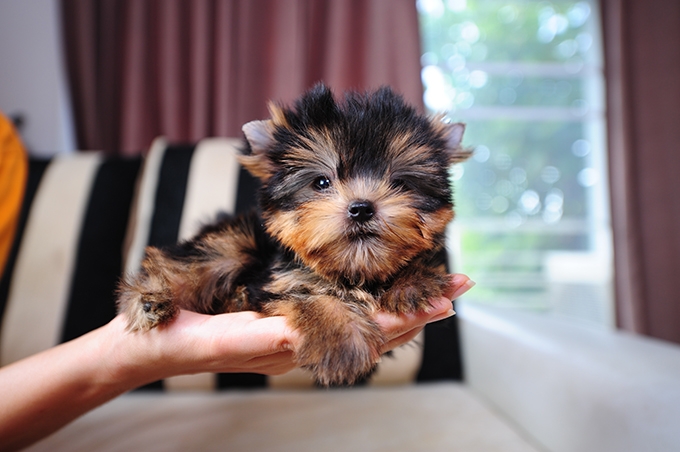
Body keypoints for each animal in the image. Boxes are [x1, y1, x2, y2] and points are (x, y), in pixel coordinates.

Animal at [117, 84, 470, 384]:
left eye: (400, 183)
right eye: (322, 182)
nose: (361, 208)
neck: (353, 270)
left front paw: (413, 282)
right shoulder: (279, 281)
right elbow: (312, 298)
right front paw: (343, 340)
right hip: (235, 242)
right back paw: (149, 299)